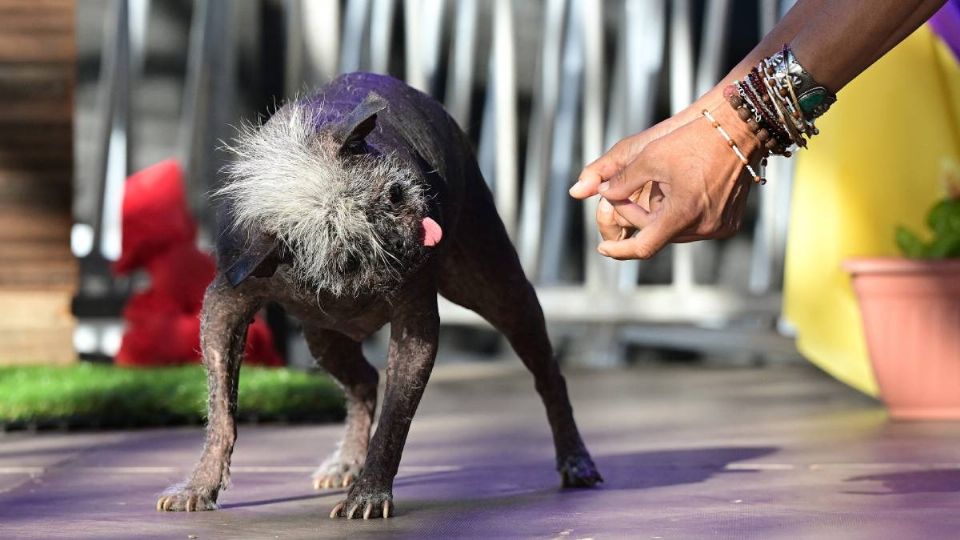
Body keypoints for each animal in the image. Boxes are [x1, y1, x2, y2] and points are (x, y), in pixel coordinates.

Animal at [156, 71, 600, 520]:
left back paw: (576, 458)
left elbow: (394, 419)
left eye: (394, 195)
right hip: (322, 338)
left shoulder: (415, 327)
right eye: (349, 255)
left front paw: (368, 494)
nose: (415, 241)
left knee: (548, 374)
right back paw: (345, 460)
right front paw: (200, 485)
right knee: (365, 380)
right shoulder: (224, 306)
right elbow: (221, 411)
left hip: (501, 292)